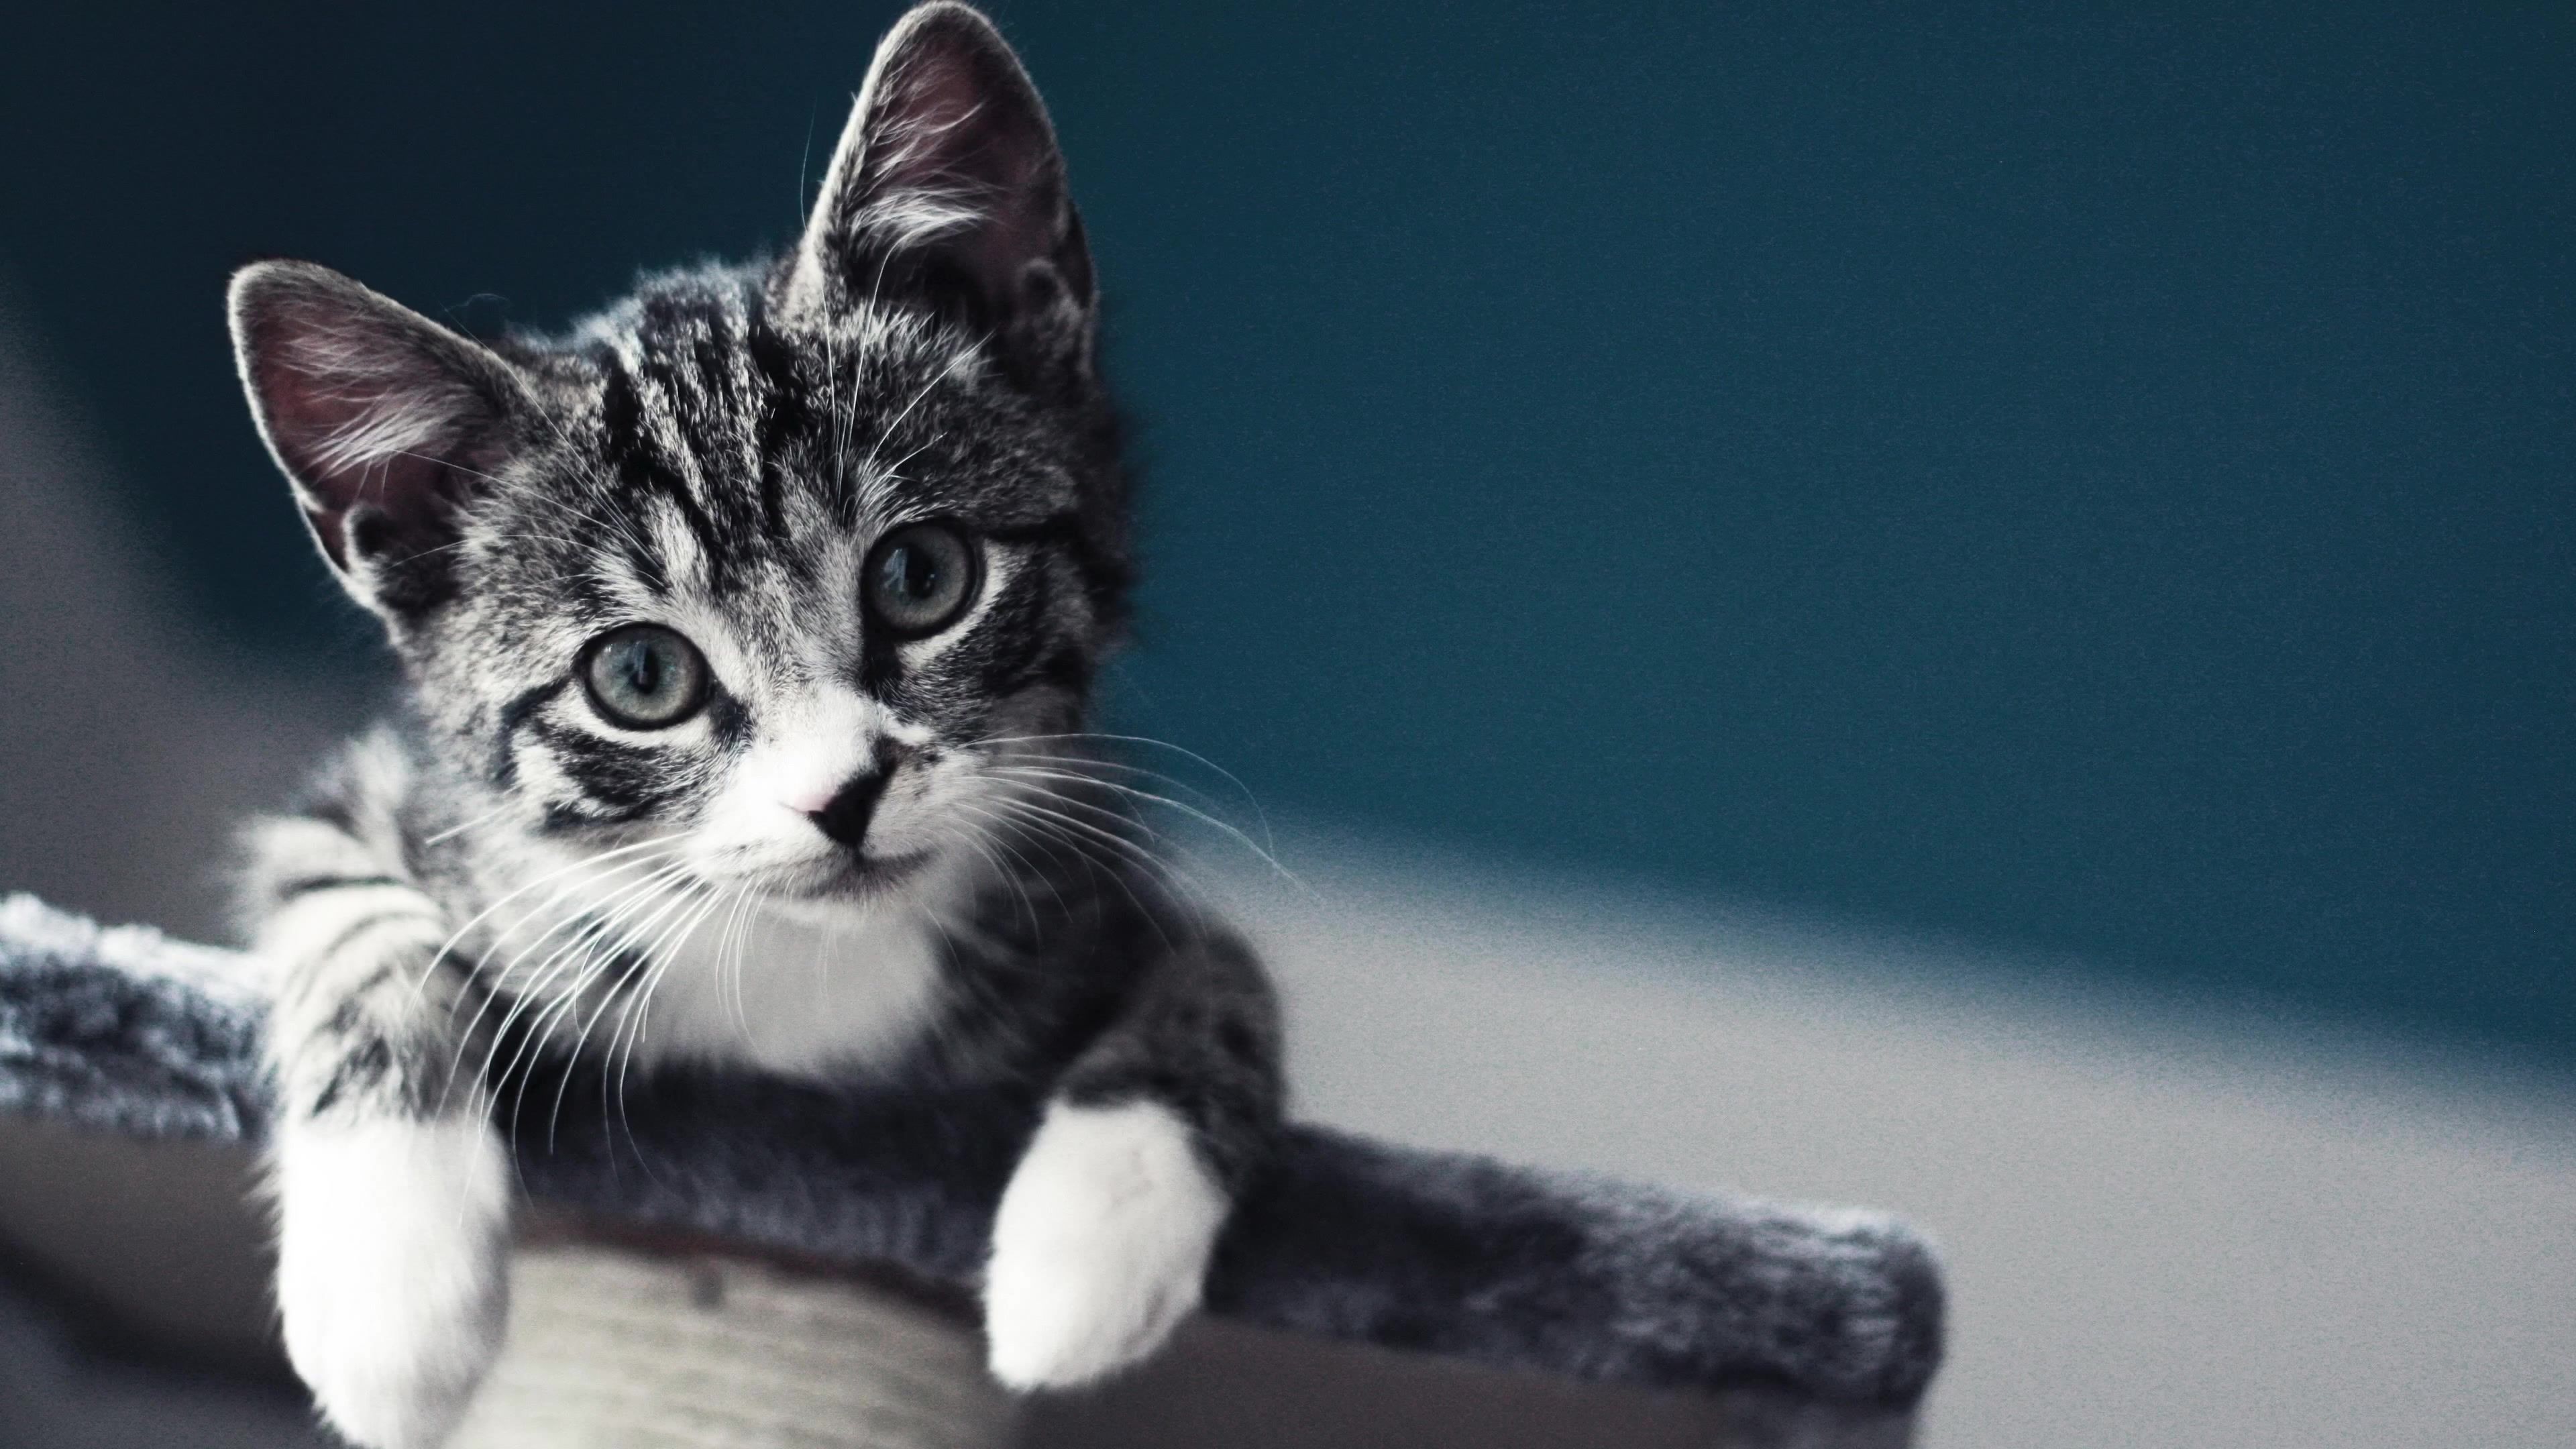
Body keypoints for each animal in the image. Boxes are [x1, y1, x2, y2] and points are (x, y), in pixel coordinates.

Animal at [219, 5, 1277, 1433]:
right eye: (641, 678)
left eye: (922, 576)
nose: (845, 794)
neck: (804, 963)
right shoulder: (392, 810)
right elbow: (345, 922)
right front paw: (393, 1292)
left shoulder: (1096, 860)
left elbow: (1221, 978)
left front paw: (1094, 1237)